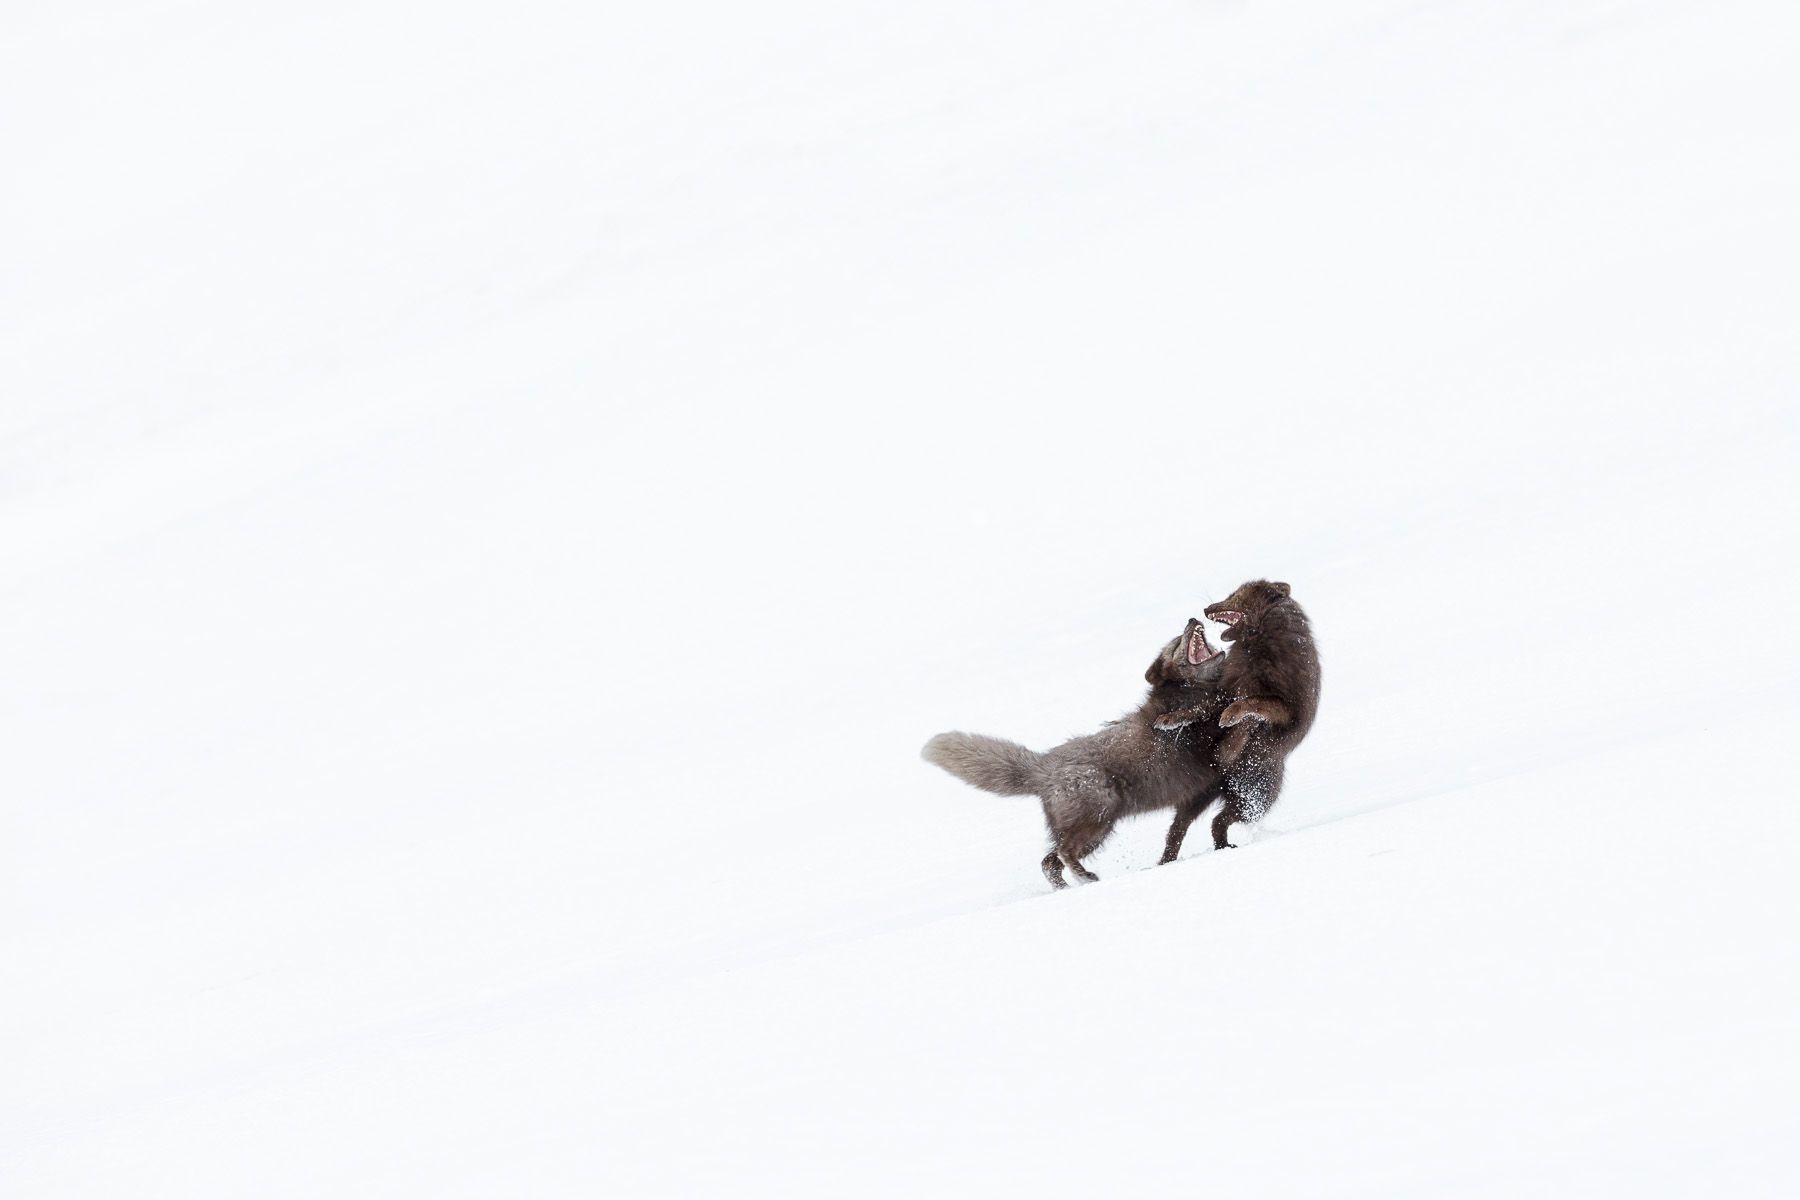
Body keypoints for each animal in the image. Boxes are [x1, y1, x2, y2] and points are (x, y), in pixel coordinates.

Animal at [923, 619, 1232, 888]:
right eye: (1177, 641)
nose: (1192, 619)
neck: (1189, 692)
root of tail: (1044, 766)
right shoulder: (1195, 723)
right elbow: (1209, 709)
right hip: (1098, 818)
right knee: (1062, 852)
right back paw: (1085, 877)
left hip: (1096, 828)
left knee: (1049, 862)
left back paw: (1067, 885)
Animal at [1159, 580, 1321, 862]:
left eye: (1234, 594)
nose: (1206, 608)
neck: (1256, 642)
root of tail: (1223, 785)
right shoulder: (1226, 688)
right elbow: (1200, 709)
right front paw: (1169, 719)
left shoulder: (1286, 706)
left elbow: (1252, 706)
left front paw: (1230, 727)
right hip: (1200, 793)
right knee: (1180, 826)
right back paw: (1167, 860)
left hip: (1252, 798)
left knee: (1220, 820)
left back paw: (1223, 845)